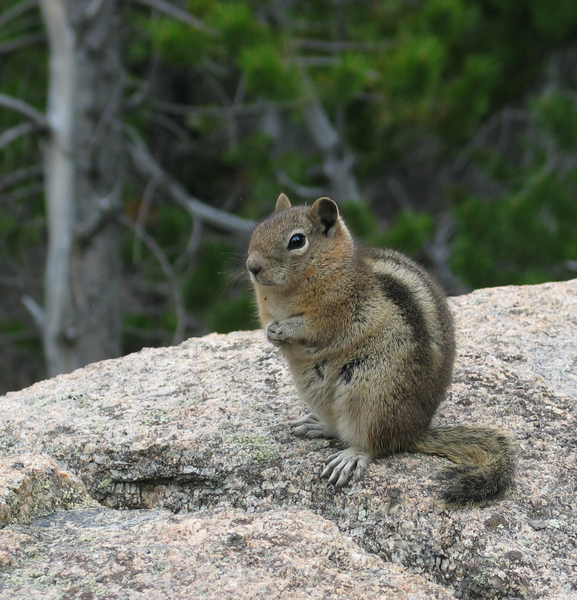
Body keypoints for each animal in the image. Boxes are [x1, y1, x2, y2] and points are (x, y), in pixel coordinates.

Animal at [248, 195, 512, 504]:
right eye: (257, 231)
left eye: (296, 241)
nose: (252, 267)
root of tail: (413, 432)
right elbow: (268, 324)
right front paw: (271, 333)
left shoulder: (342, 309)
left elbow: (317, 328)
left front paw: (286, 330)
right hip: (317, 390)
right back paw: (318, 425)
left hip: (370, 393)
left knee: (375, 443)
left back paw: (351, 456)